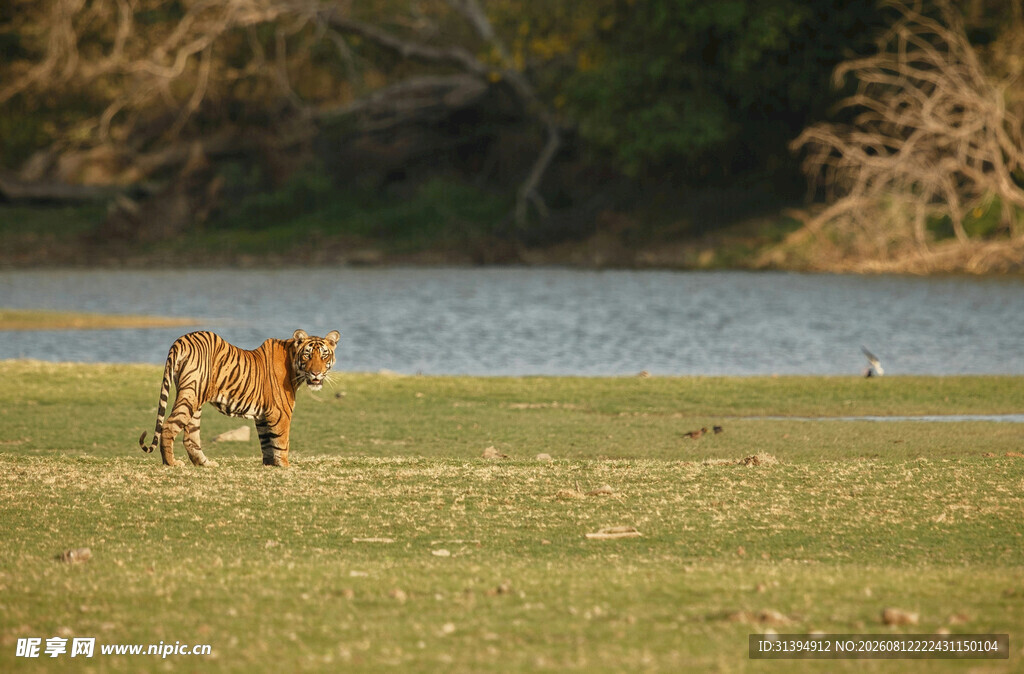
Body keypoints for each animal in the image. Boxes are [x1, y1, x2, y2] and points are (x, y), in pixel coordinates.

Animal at [138, 329, 340, 467]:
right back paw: (171, 463)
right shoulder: (281, 413)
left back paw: (206, 464)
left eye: (324, 355)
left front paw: (269, 466)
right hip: (192, 393)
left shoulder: (263, 416)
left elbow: (267, 443)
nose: (316, 373)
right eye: (307, 355)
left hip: (194, 399)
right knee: (169, 426)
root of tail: (182, 339)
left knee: (190, 436)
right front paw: (285, 466)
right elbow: (281, 443)